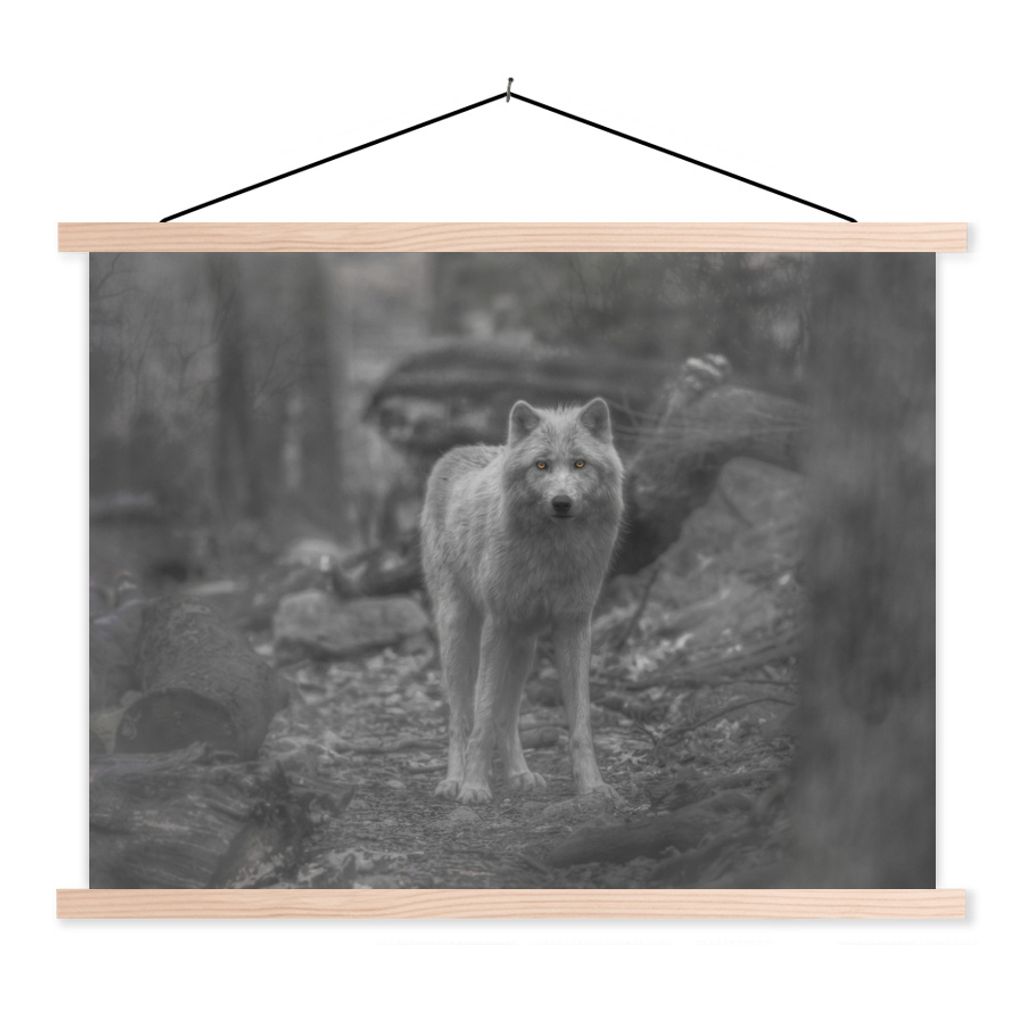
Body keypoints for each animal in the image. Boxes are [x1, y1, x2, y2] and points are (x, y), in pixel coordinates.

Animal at [420, 396, 624, 805]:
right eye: (541, 465)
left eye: (580, 463)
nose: (561, 502)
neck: (552, 555)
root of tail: (454, 453)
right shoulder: (497, 625)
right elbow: (481, 718)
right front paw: (474, 786)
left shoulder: (574, 625)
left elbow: (580, 722)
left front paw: (592, 787)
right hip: (460, 632)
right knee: (460, 717)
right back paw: (453, 781)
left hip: (524, 644)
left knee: (507, 716)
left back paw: (520, 775)